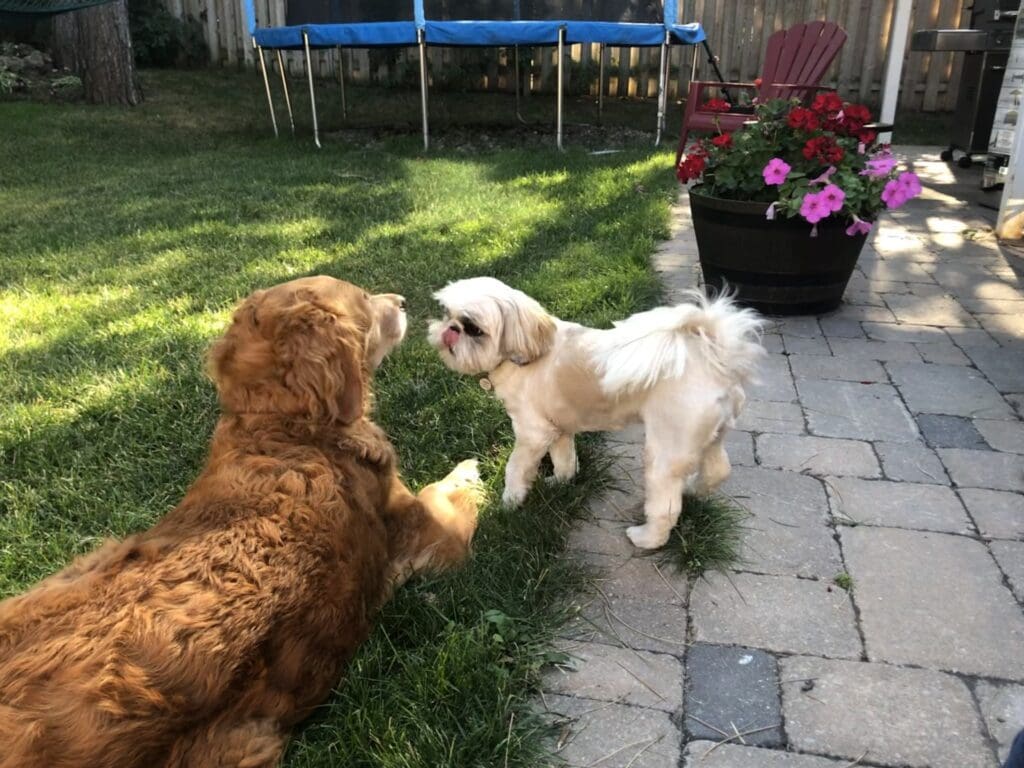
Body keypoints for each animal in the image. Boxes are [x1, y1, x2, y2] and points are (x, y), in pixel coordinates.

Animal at [0, 276, 483, 768]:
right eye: (364, 300)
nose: (402, 301)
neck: (284, 427)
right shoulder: (434, 536)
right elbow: (448, 489)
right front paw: (472, 469)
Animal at [428, 280, 765, 548]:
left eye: (473, 328)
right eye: (447, 313)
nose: (449, 331)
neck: (526, 351)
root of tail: (714, 356)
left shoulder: (532, 433)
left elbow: (516, 469)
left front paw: (509, 503)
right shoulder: (558, 429)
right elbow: (564, 459)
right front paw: (560, 482)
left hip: (666, 450)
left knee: (667, 506)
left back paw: (646, 539)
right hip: (711, 436)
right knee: (718, 469)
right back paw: (693, 490)